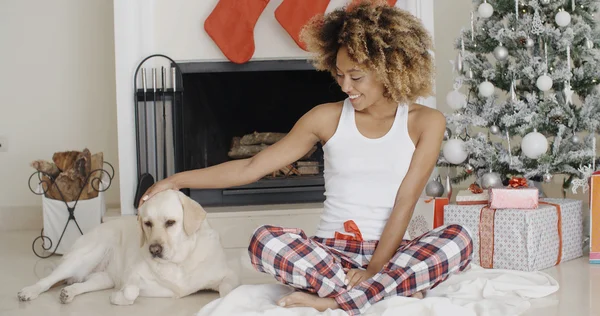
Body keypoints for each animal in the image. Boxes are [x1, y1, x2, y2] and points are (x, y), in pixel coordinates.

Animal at [17, 189, 237, 304]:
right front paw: (118, 297)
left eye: (170, 222)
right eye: (147, 223)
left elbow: (229, 289)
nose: (154, 250)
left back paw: (68, 293)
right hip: (83, 257)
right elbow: (131, 291)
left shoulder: (227, 274)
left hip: (101, 278)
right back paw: (28, 292)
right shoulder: (133, 274)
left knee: (80, 284)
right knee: (47, 280)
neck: (179, 262)